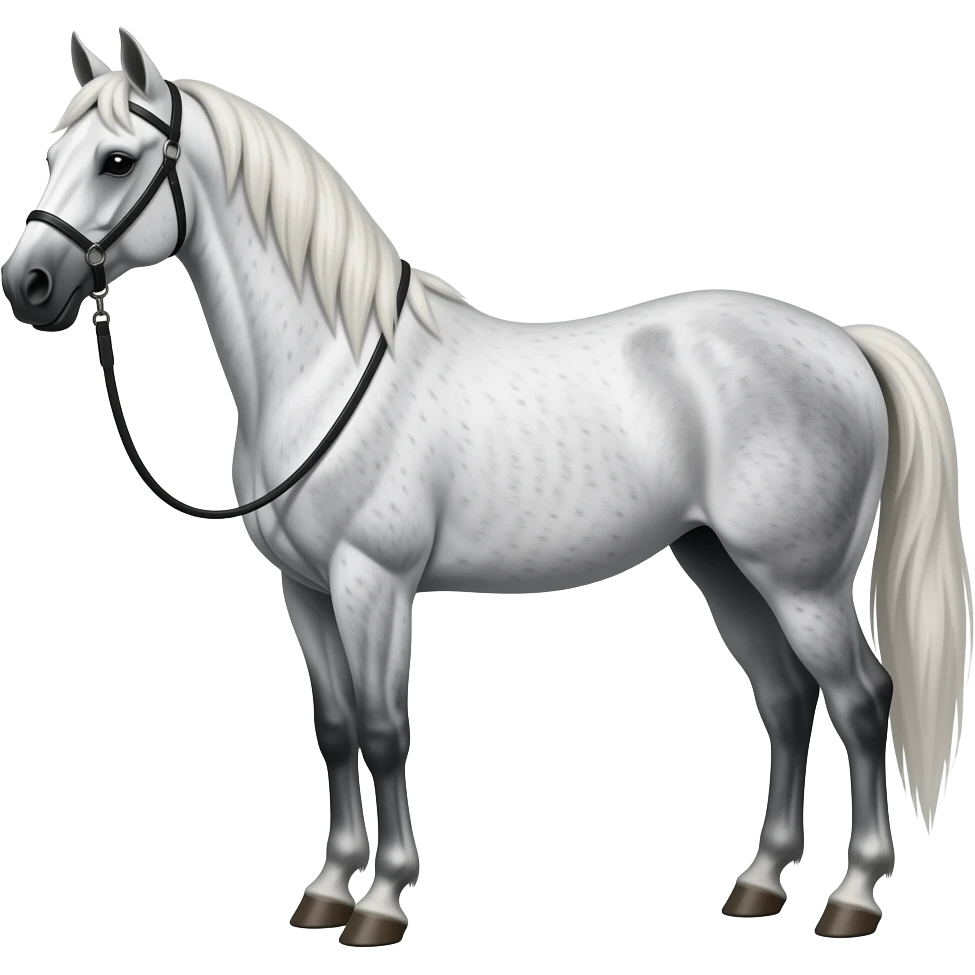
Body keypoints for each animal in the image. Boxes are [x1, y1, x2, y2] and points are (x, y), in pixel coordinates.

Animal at [2, 29, 971, 946]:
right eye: (53, 149)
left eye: (117, 159)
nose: (29, 285)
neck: (329, 364)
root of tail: (844, 342)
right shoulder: (306, 590)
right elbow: (336, 729)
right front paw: (326, 890)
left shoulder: (373, 582)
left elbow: (385, 730)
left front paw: (380, 904)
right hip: (723, 565)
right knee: (785, 699)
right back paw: (759, 883)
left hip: (800, 581)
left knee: (860, 699)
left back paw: (851, 899)